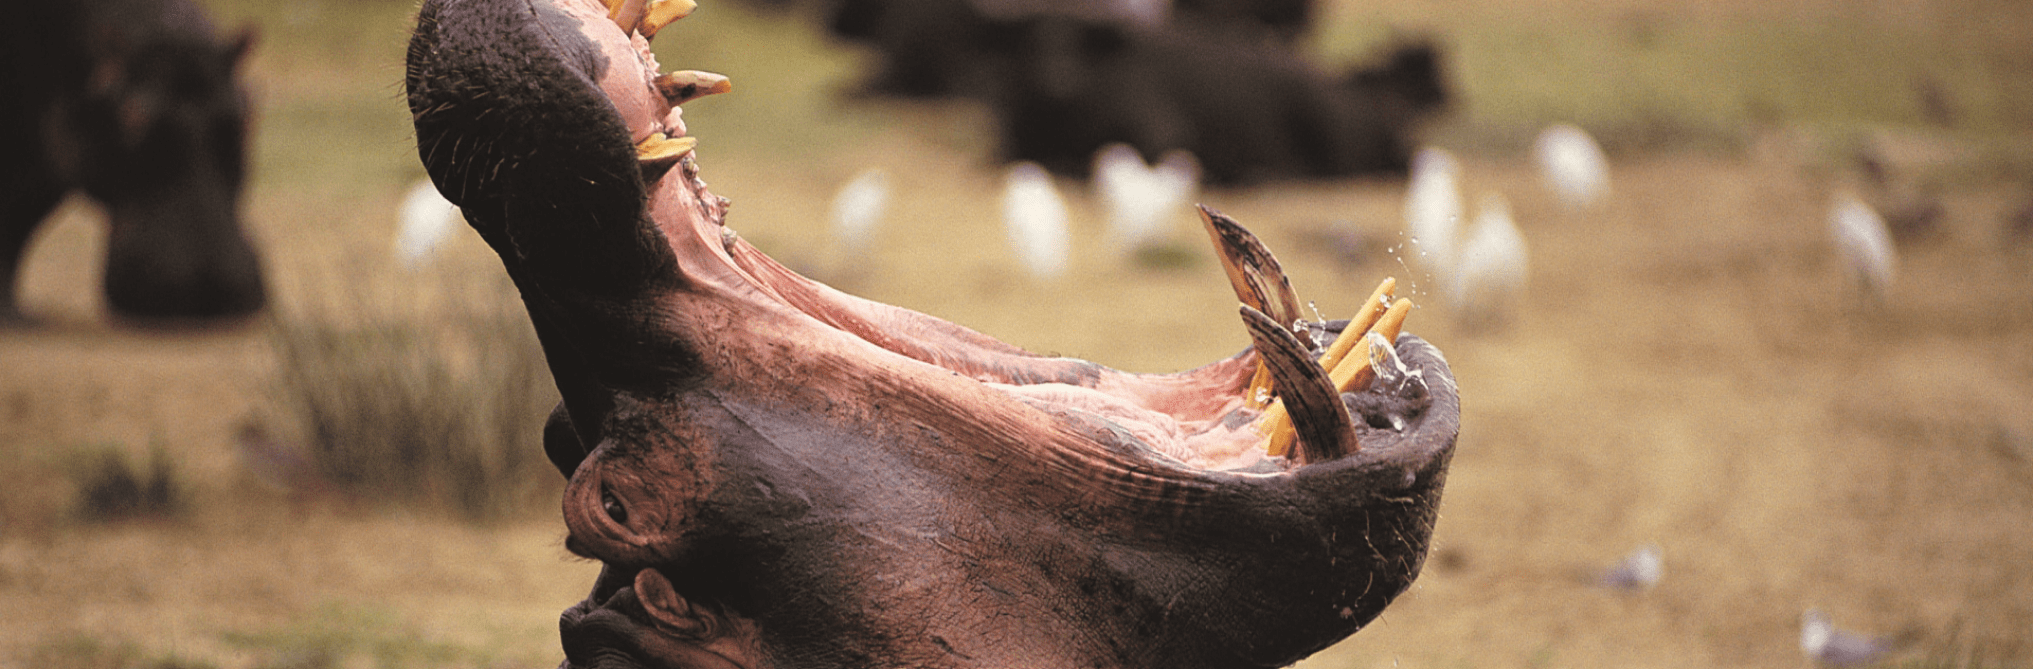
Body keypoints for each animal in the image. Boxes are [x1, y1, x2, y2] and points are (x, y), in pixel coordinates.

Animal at [1, 0, 264, 324]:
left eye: (245, 116)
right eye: (133, 116)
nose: (209, 285)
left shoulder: (45, 169)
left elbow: (18, 228)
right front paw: (15, 319)